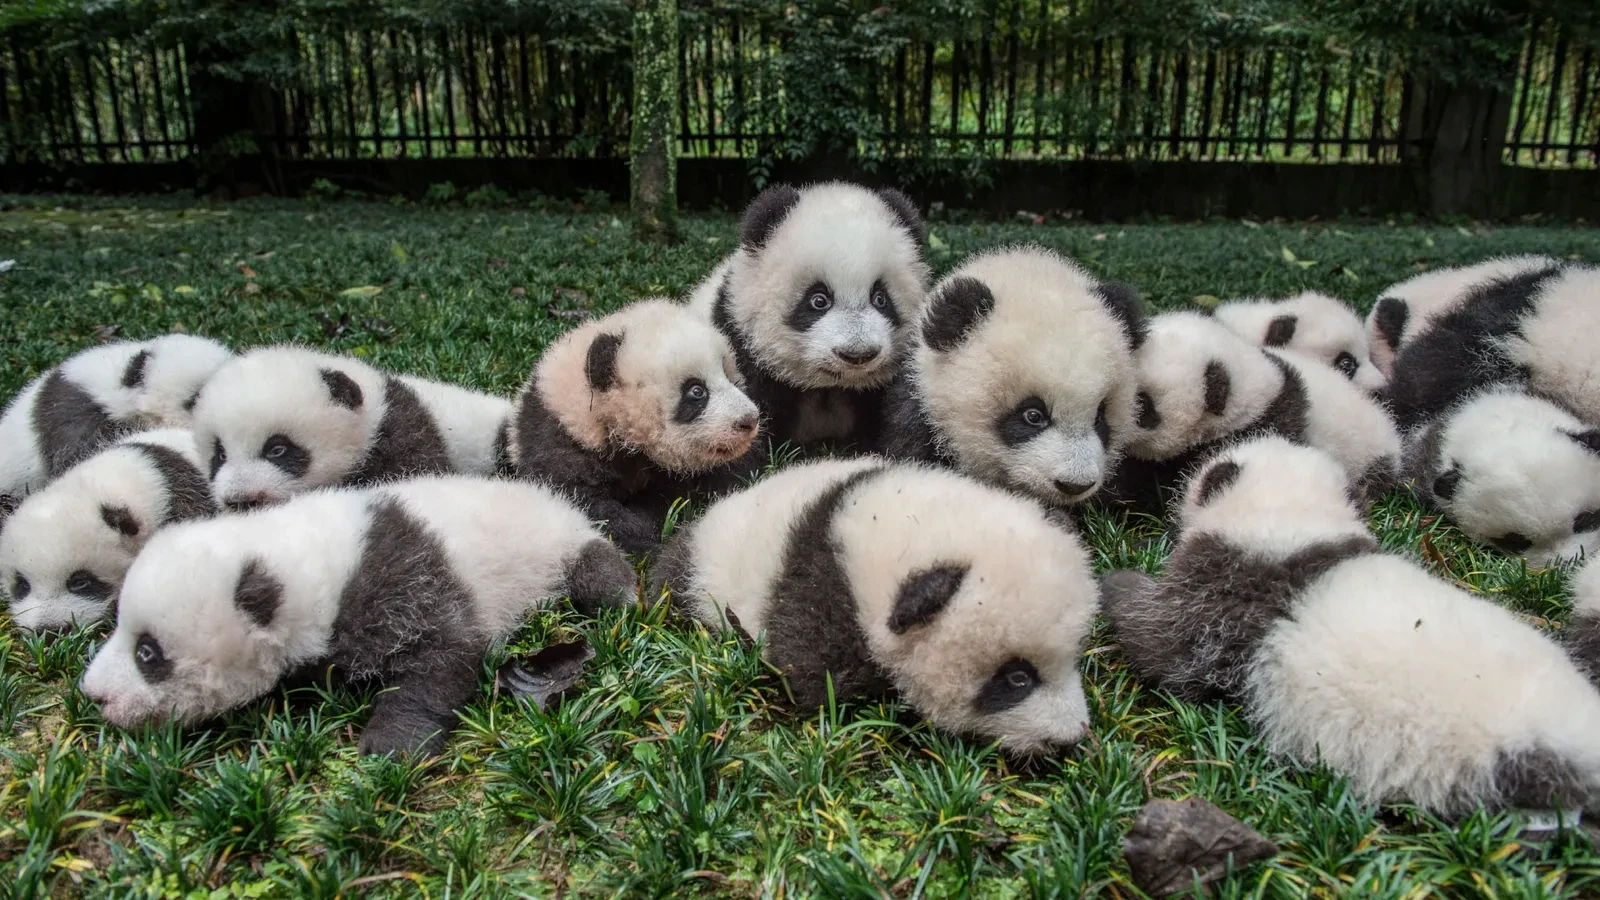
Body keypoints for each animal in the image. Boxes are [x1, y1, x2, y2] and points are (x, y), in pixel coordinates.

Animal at [78, 474, 636, 757]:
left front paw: (390, 746)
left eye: (148, 653)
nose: (94, 695)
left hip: (555, 545)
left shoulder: (402, 580)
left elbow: (444, 655)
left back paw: (624, 595)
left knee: (595, 571)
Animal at [509, 298, 760, 555]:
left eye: (729, 377)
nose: (749, 420)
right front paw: (642, 539)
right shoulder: (558, 444)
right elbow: (589, 507)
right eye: (697, 391)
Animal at [651, 458, 1098, 756]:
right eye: (1017, 678)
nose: (1071, 736)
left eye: (1074, 657)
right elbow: (813, 678)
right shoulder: (824, 593)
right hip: (704, 574)